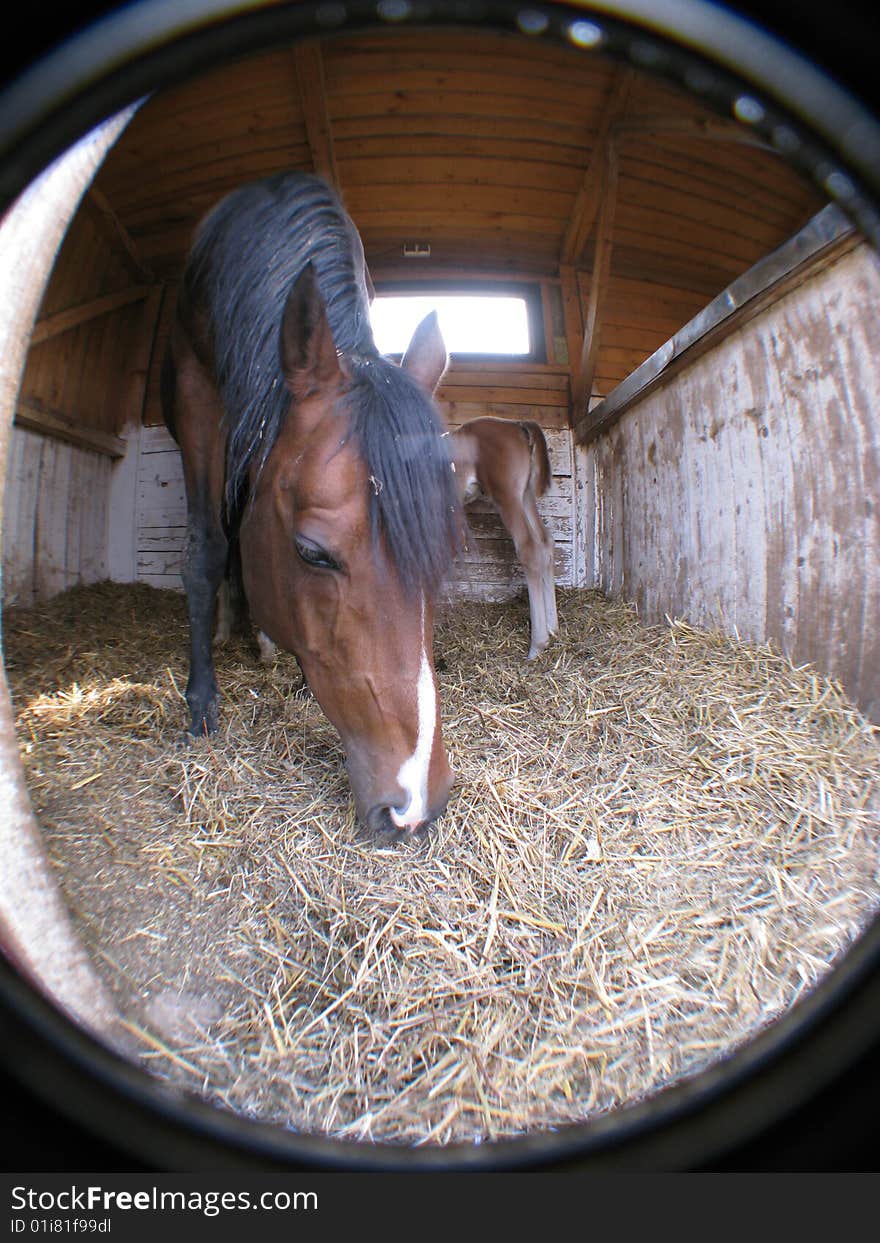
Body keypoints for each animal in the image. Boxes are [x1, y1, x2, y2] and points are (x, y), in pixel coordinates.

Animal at [449, 415, 559, 661]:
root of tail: (517, 424)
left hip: (507, 495)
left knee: (530, 549)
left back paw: (537, 645)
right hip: (525, 496)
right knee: (545, 543)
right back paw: (553, 627)